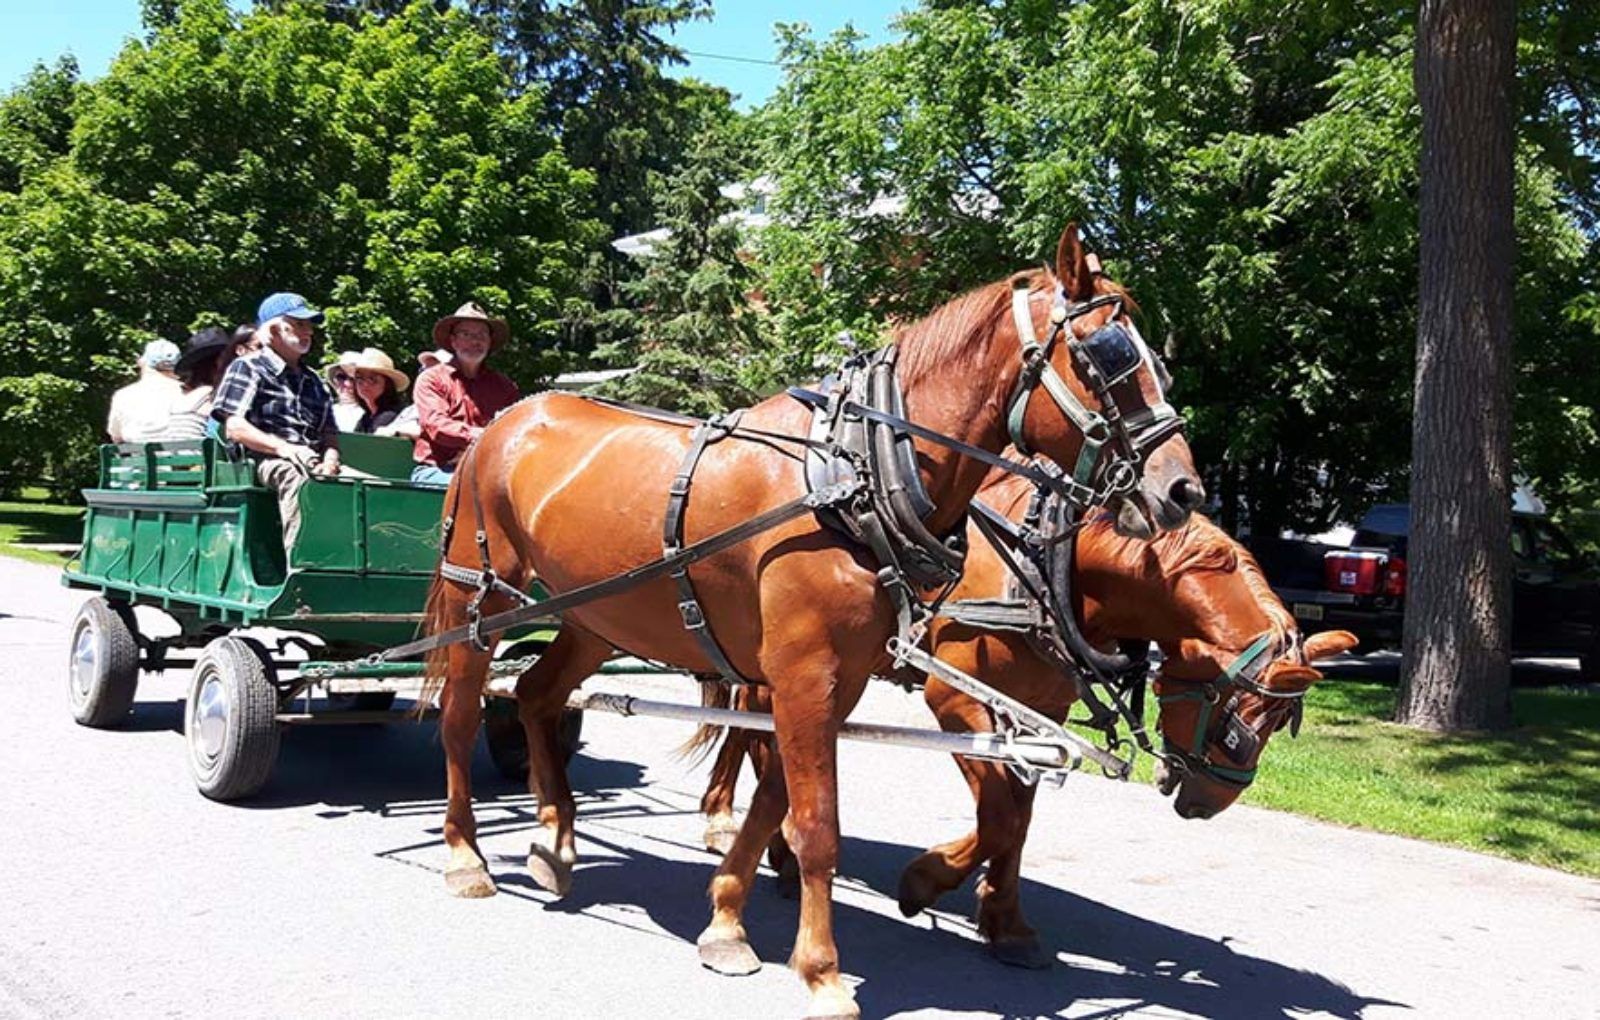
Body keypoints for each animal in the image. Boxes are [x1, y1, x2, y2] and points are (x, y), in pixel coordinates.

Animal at [420, 225, 1202, 1019]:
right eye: (1105, 356)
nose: (1183, 490)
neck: (855, 476)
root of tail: (506, 422)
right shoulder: (807, 675)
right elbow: (816, 823)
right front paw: (822, 972)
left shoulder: (836, 680)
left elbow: (777, 803)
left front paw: (727, 921)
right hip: (481, 594)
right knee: (460, 713)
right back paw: (465, 854)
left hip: (594, 614)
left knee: (537, 695)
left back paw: (555, 842)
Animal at [696, 469, 1355, 971]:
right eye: (1236, 730)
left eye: (1276, 729)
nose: (1208, 804)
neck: (1051, 571)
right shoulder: (957, 701)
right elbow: (999, 816)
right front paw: (927, 879)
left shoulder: (1044, 712)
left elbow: (1021, 820)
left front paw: (1006, 922)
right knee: (750, 733)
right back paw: (747, 834)